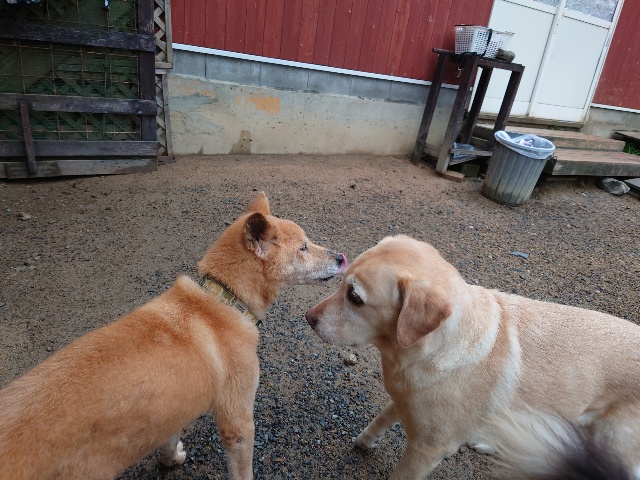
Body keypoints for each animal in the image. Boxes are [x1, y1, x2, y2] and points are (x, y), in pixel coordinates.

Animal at [0, 192, 346, 480]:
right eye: (303, 247)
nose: (342, 257)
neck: (224, 298)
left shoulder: (171, 411)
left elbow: (168, 442)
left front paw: (171, 460)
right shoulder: (237, 421)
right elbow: (243, 469)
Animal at [305, 235, 640, 479]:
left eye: (355, 298)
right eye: (341, 283)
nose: (308, 318)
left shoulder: (427, 450)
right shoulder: (403, 399)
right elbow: (382, 417)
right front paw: (366, 440)